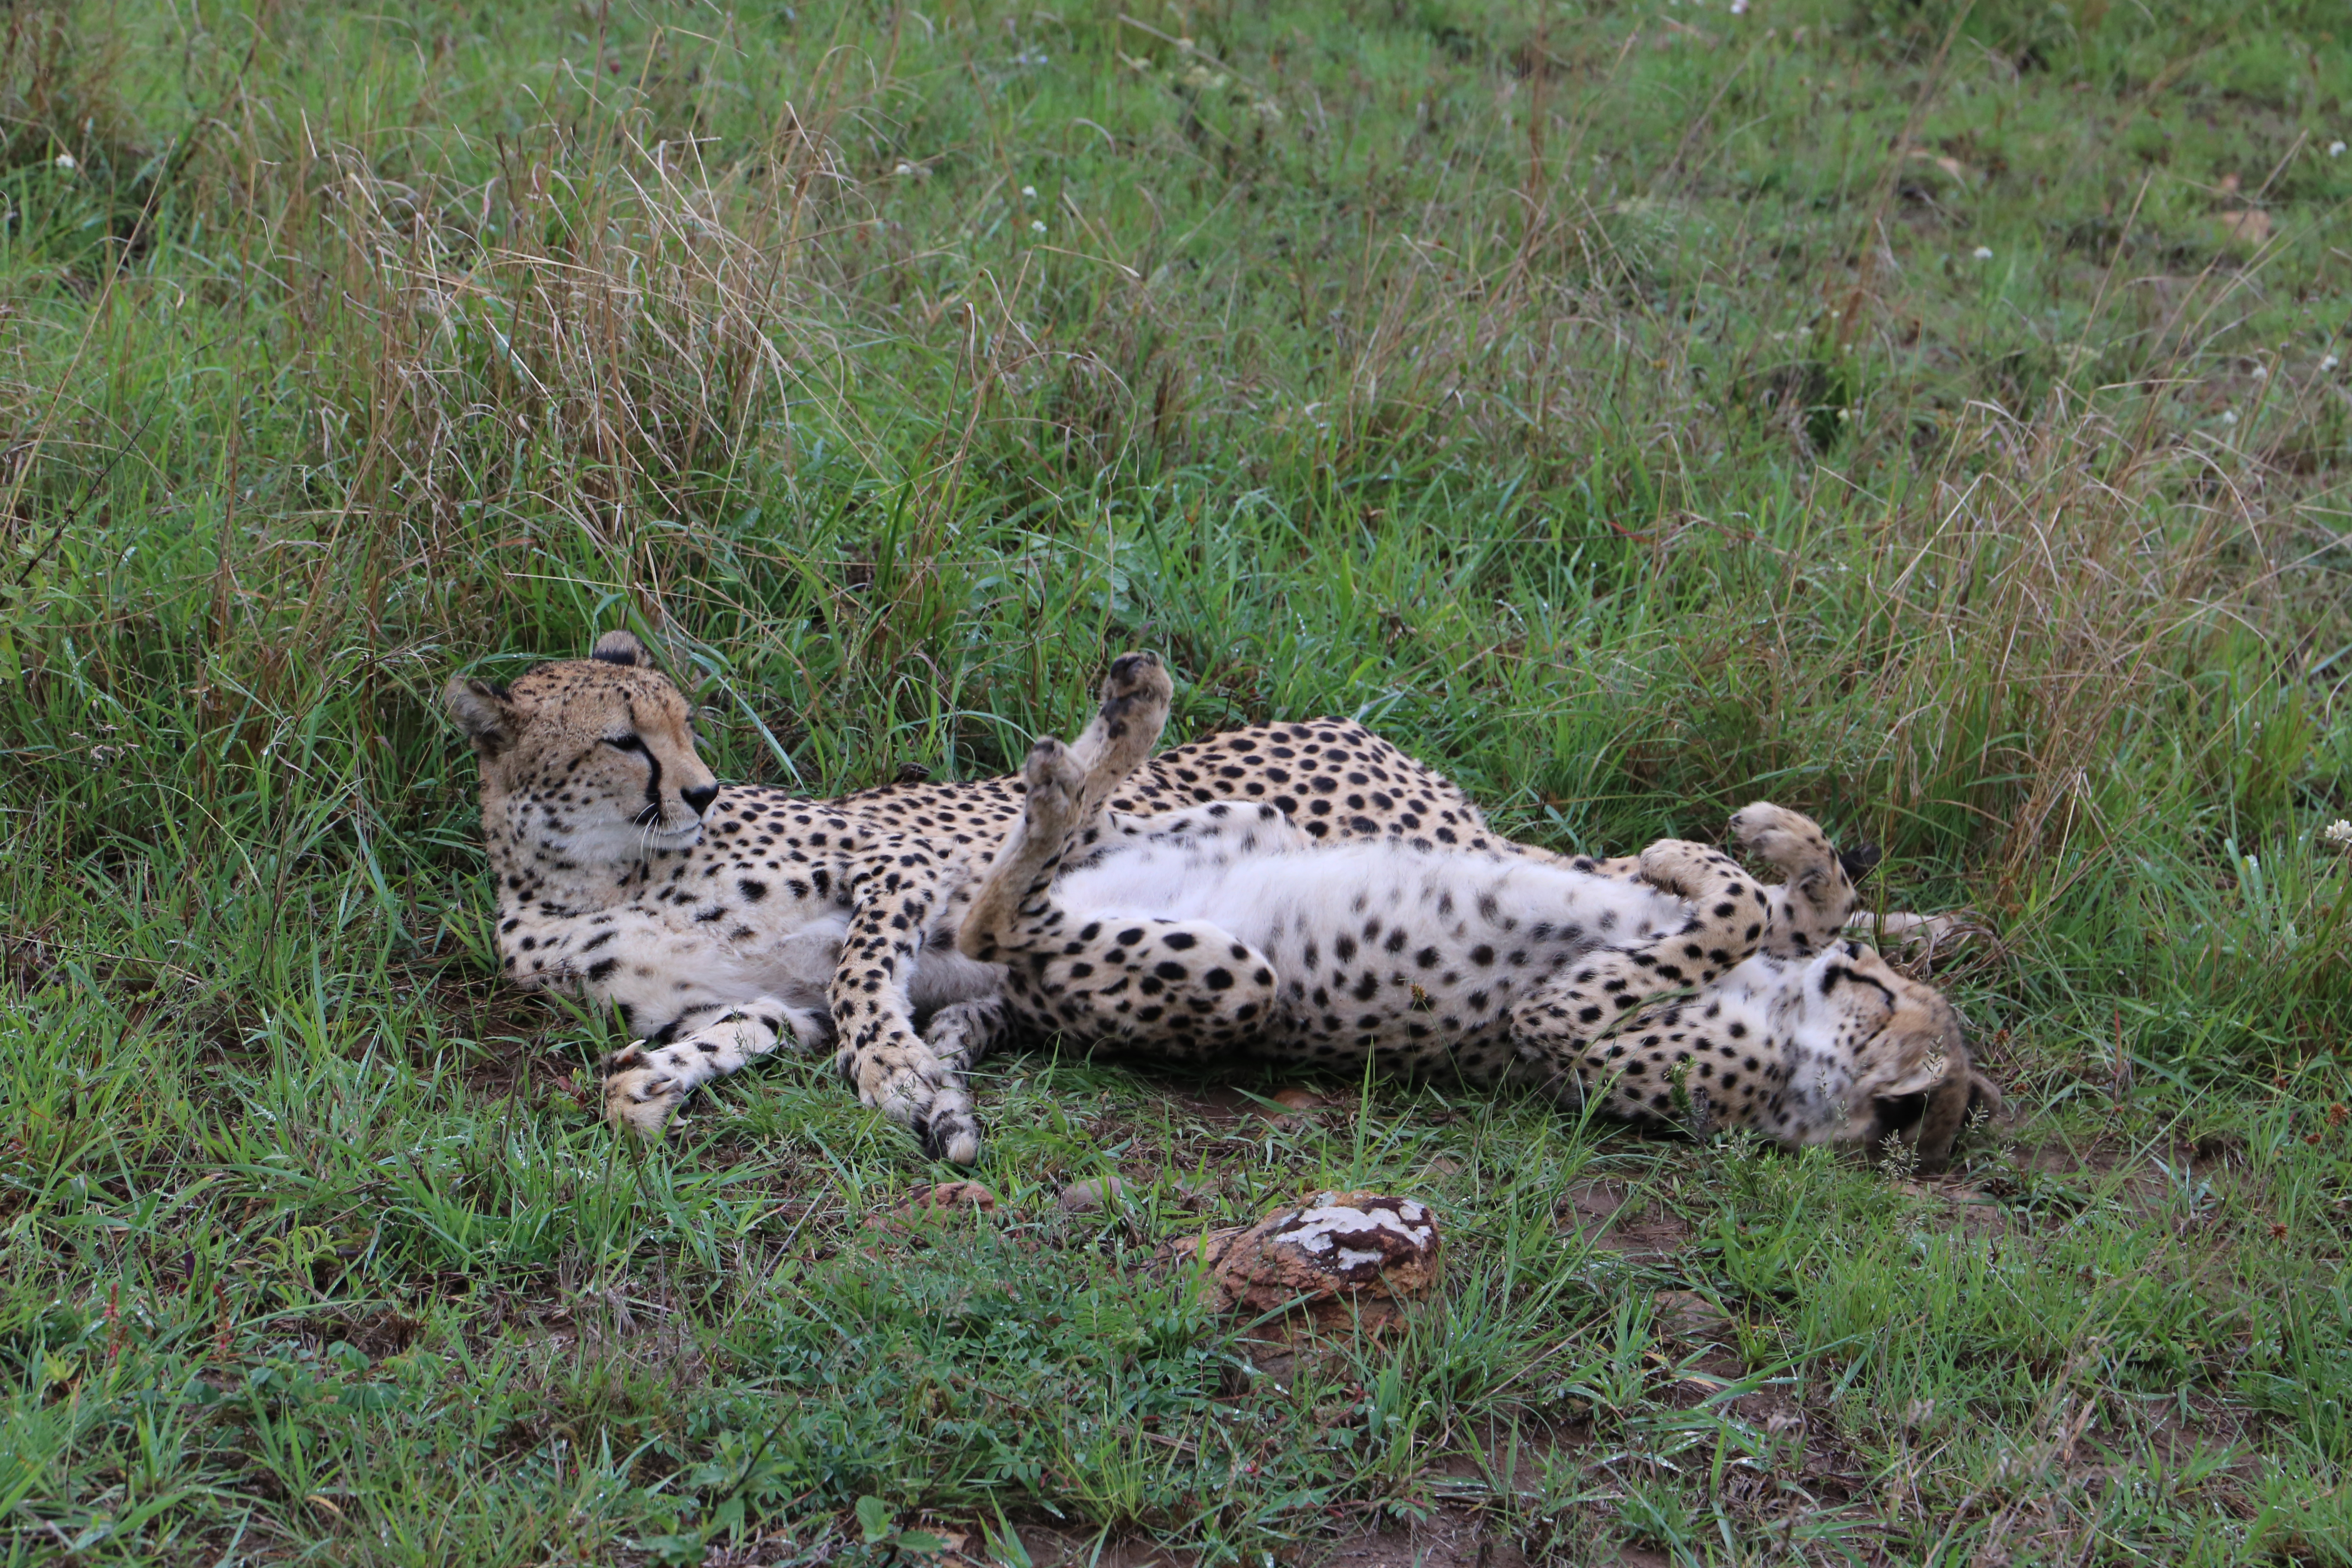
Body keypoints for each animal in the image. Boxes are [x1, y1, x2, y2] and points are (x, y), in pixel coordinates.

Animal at [955, 649, 2004, 1166]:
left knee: (995, 919)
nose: (1855, 971)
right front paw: (1734, 844)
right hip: (1251, 818)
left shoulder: (1567, 1025)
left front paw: (1701, 860)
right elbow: (1787, 899)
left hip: (1234, 979)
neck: (1797, 1038)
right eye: (1880, 985)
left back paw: (1064, 772)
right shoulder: (1765, 941)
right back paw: (1121, 716)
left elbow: (1739, 914)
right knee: (1062, 838)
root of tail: (1021, 1007)